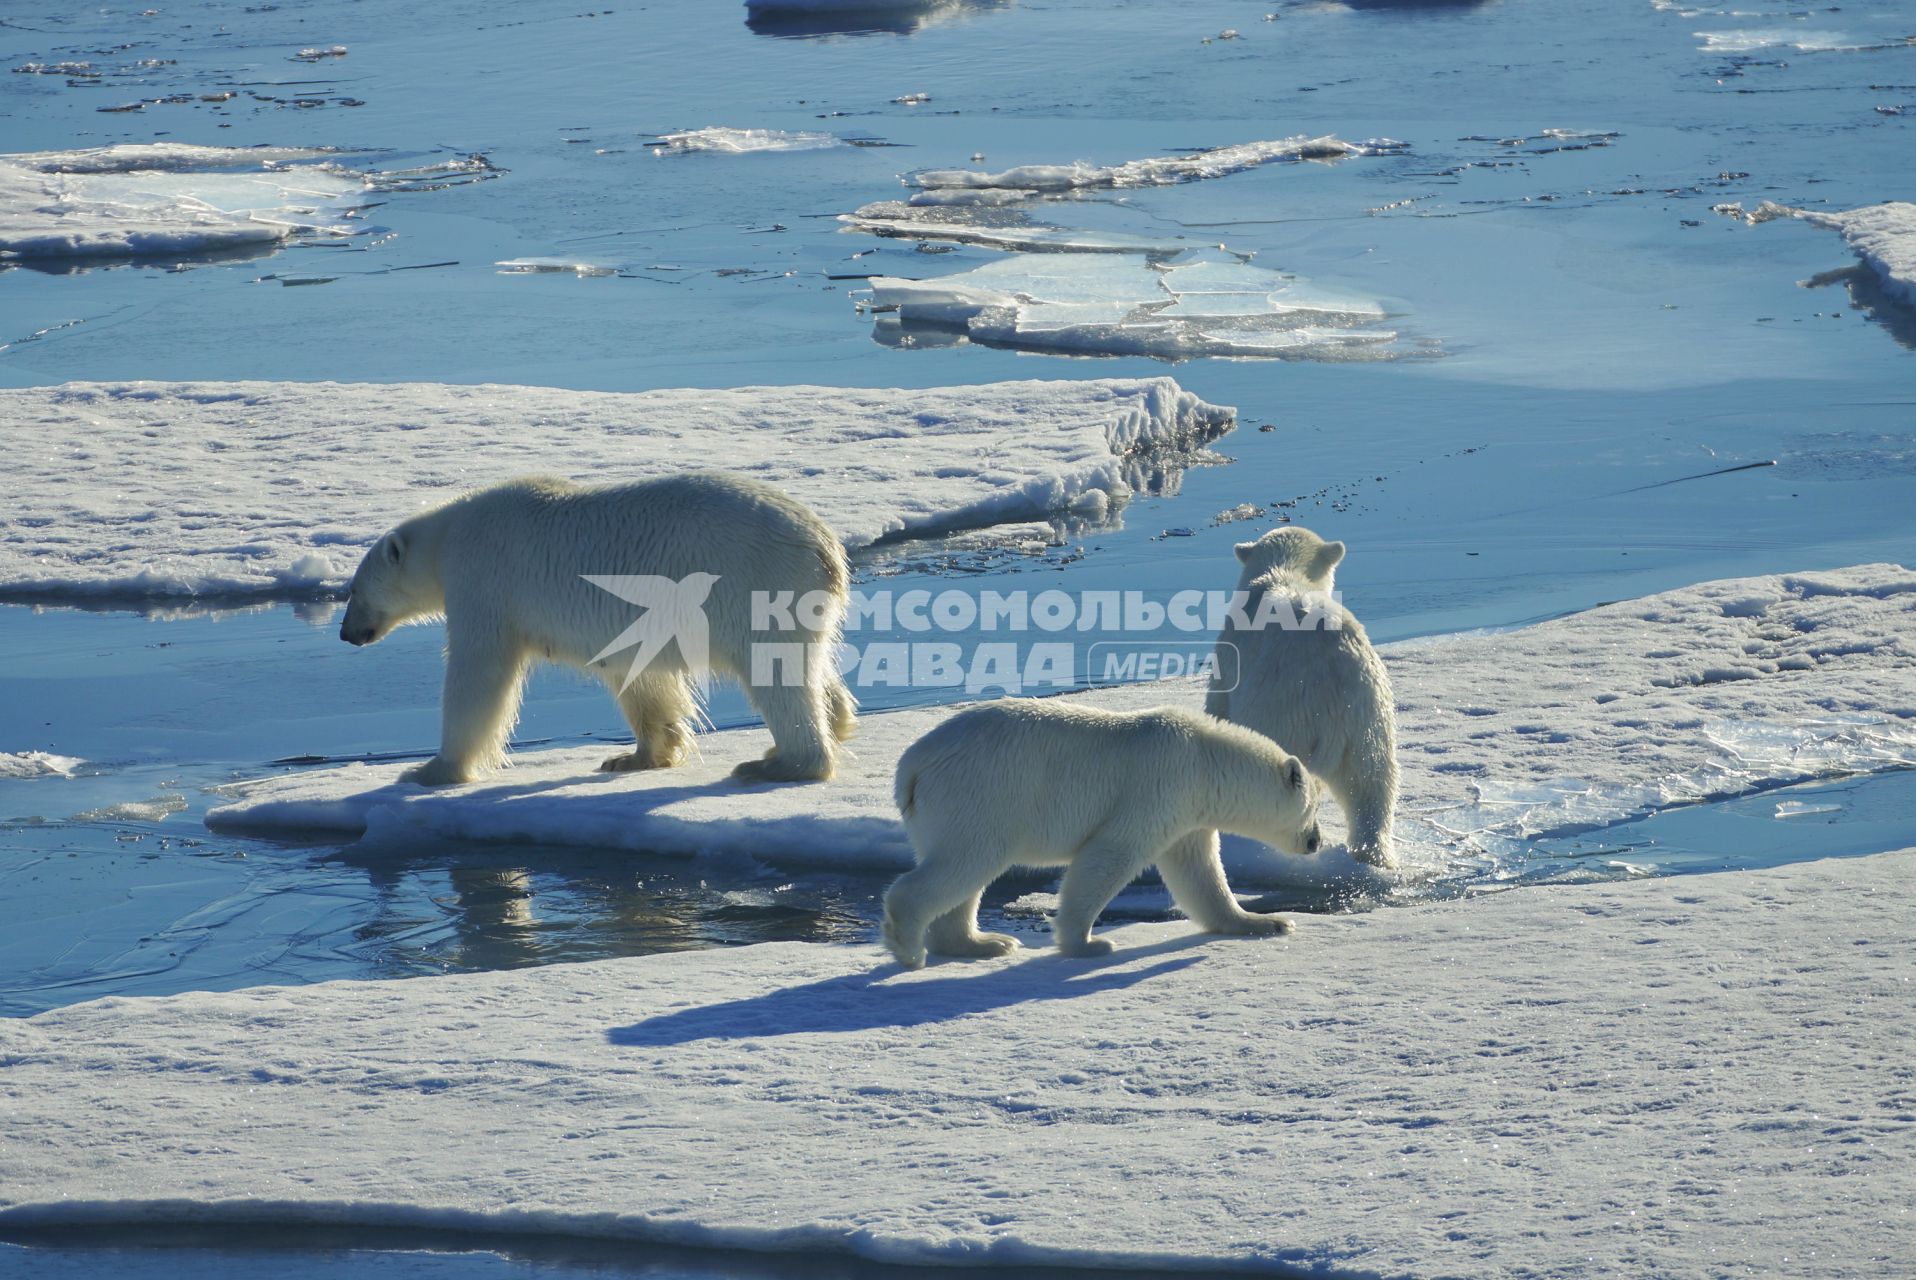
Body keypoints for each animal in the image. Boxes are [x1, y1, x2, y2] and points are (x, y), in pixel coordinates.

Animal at [341, 475, 858, 785]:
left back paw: (779, 763)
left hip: (756, 584)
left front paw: (430, 770)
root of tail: (827, 548)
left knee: (777, 676)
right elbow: (642, 680)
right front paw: (633, 757)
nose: (347, 633)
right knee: (811, 667)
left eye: (352, 589)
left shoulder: (485, 580)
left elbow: (478, 676)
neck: (448, 536)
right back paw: (833, 721)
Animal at [877, 701, 1318, 969]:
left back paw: (984, 943)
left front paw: (1266, 922)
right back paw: (910, 948)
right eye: (1314, 807)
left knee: (963, 876)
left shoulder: (1187, 814)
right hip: (980, 793)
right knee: (965, 863)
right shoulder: (1158, 788)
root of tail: (912, 765)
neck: (1204, 760)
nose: (1316, 842)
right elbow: (1108, 858)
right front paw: (1089, 944)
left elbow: (1200, 874)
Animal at [1203, 521, 1402, 869]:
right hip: (1368, 717)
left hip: (1286, 713)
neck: (1284, 572)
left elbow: (1219, 705)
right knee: (1372, 785)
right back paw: (1374, 856)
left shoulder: (1232, 653)